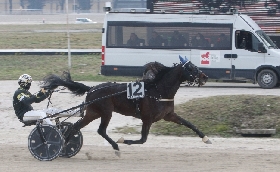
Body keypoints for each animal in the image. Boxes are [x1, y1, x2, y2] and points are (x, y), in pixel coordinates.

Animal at [40, 56, 211, 156]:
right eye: (191, 68)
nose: (205, 76)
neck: (158, 90)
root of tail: (92, 88)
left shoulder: (169, 115)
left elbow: (189, 124)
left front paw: (206, 138)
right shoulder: (147, 118)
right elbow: (143, 139)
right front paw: (123, 140)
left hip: (93, 112)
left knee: (76, 127)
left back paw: (64, 145)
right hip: (106, 112)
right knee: (100, 130)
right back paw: (115, 146)